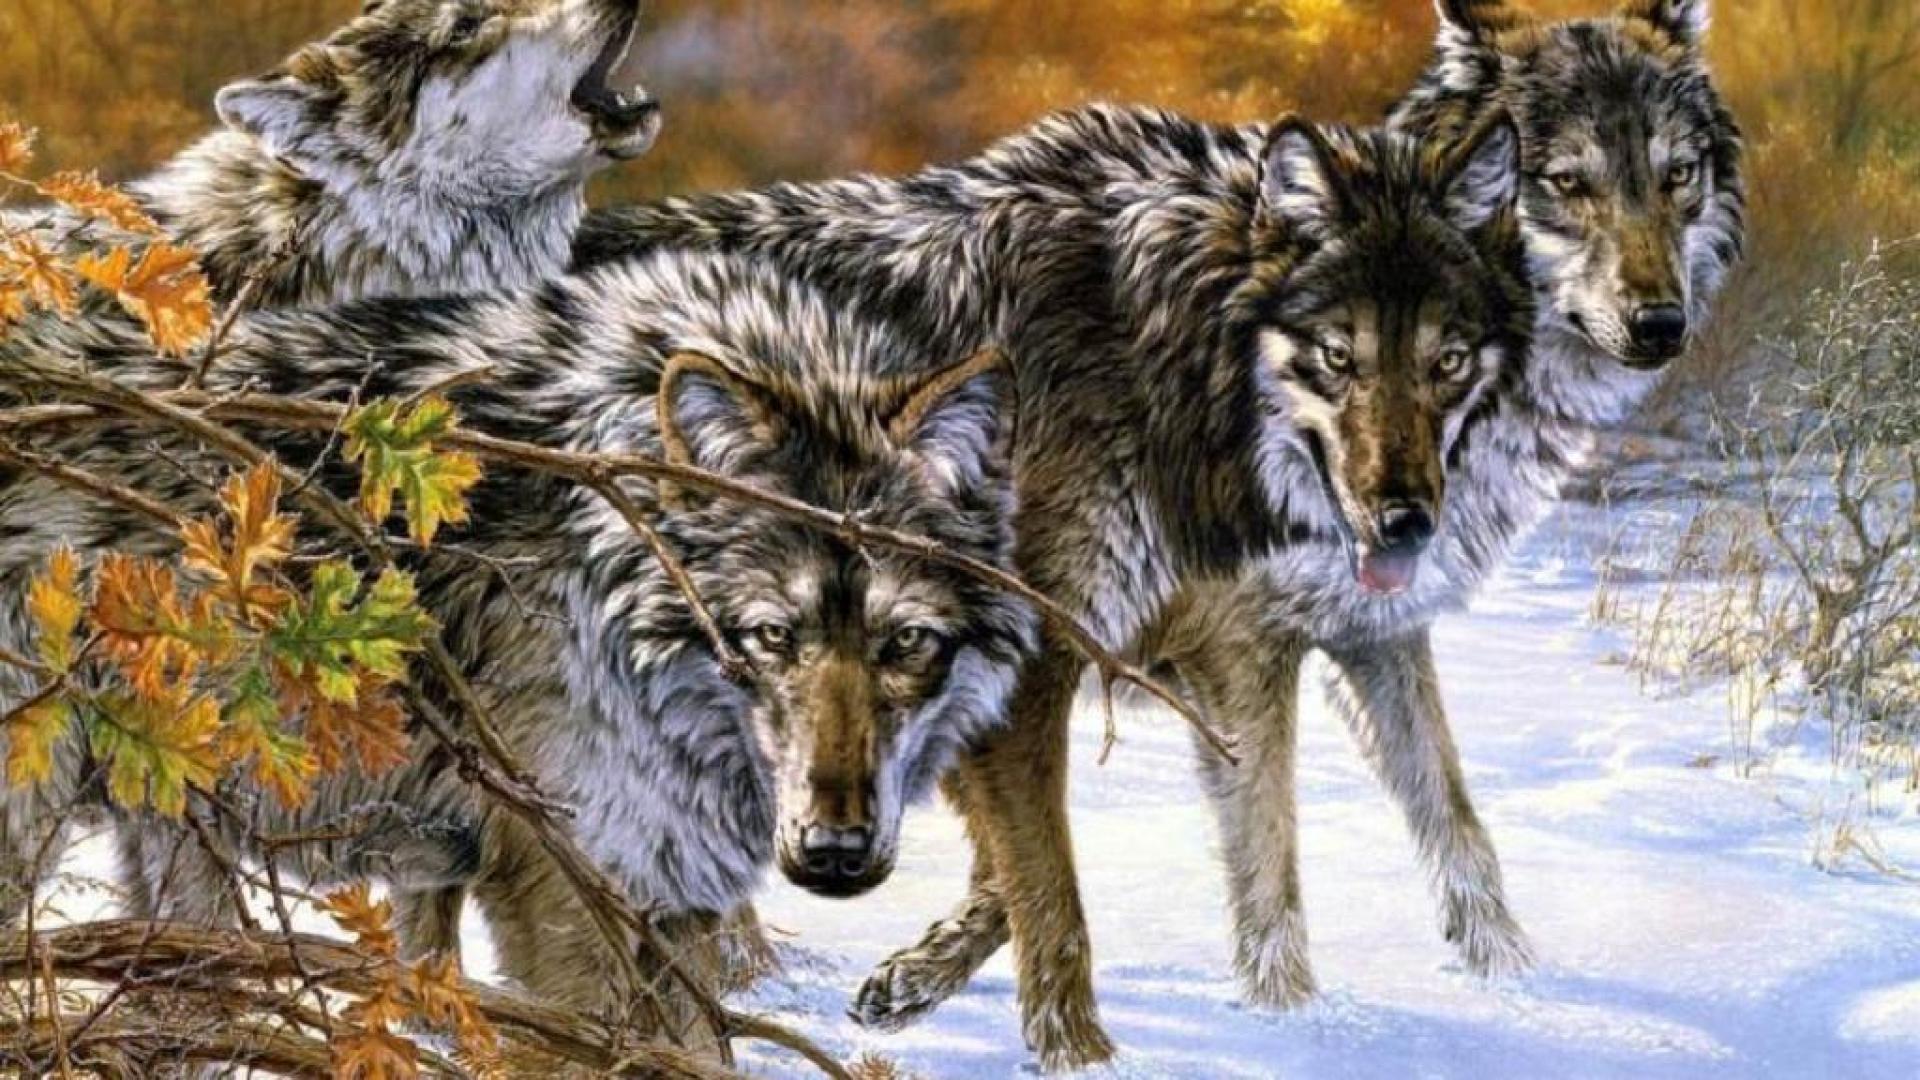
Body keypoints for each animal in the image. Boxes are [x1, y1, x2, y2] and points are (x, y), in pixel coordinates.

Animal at [574, 108, 1527, 1067]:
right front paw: (1084, 1057)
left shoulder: (1315, 641)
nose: (1407, 522)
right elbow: (1060, 887)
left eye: (1448, 362)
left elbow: (1445, 818)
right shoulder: (1048, 662)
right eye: (1337, 356)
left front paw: (1509, 982)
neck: (1159, 358)